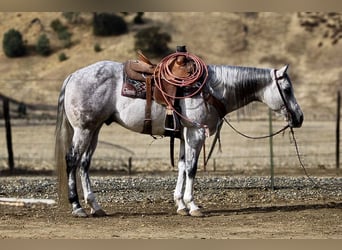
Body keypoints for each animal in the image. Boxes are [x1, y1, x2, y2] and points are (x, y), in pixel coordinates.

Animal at [54, 60, 304, 217]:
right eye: (287, 89)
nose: (299, 117)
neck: (211, 89)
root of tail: (73, 76)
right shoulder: (195, 133)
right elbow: (192, 168)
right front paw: (193, 205)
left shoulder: (184, 135)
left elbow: (183, 166)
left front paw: (180, 203)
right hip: (84, 129)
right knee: (72, 160)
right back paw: (77, 206)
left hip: (94, 129)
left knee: (85, 164)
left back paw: (95, 206)